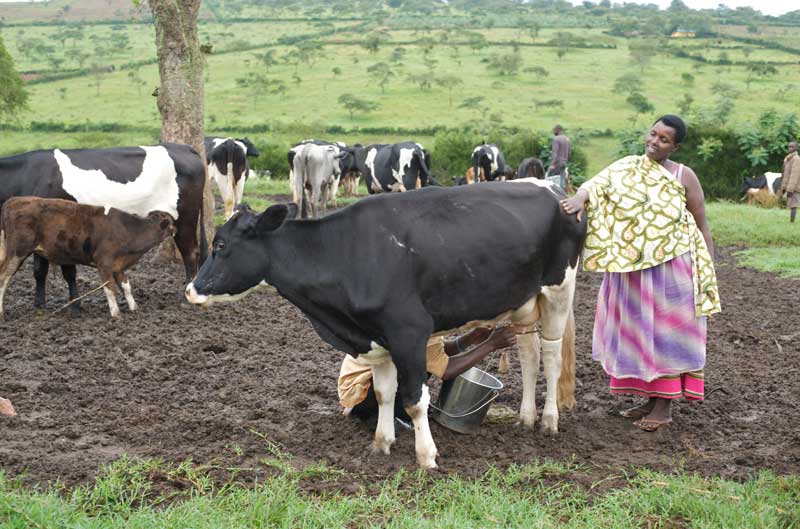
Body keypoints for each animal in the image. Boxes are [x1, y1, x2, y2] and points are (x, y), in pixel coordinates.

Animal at [0, 195, 175, 316]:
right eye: (172, 224)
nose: (177, 230)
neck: (129, 230)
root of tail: (13, 201)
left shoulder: (118, 265)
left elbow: (126, 286)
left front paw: (134, 308)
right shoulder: (103, 262)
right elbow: (109, 288)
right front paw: (116, 314)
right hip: (17, 252)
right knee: (3, 278)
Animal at [188, 179, 588, 468]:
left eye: (220, 245)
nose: (190, 290)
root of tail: (554, 189)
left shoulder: (408, 331)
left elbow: (414, 399)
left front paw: (426, 456)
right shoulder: (375, 337)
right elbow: (384, 393)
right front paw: (381, 444)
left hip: (559, 290)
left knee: (551, 356)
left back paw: (548, 421)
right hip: (523, 301)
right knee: (528, 354)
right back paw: (525, 417)